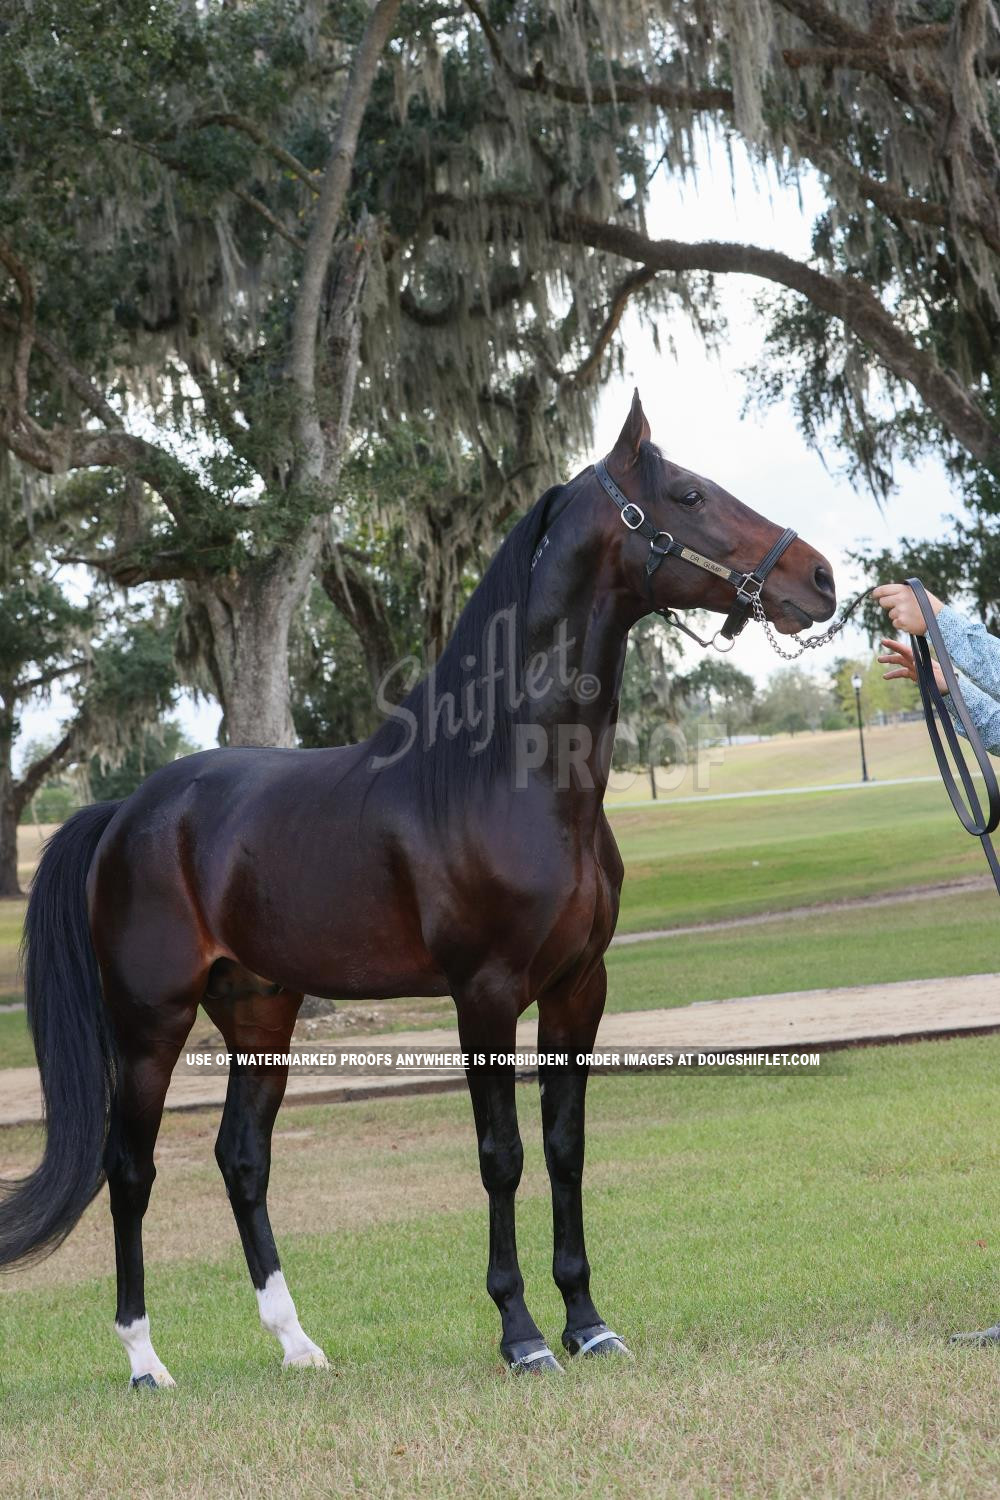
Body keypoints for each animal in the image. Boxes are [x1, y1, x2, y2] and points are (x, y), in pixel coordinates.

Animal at [0, 391, 836, 1384]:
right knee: (129, 1171)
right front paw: (521, 1336)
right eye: (691, 493)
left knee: (242, 1158)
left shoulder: (578, 988)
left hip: (259, 1010)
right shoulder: (485, 993)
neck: (508, 776)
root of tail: (128, 810)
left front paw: (588, 1324)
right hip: (149, 1022)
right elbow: (501, 1156)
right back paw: (145, 1361)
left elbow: (565, 1149)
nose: (821, 578)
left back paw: (297, 1344)